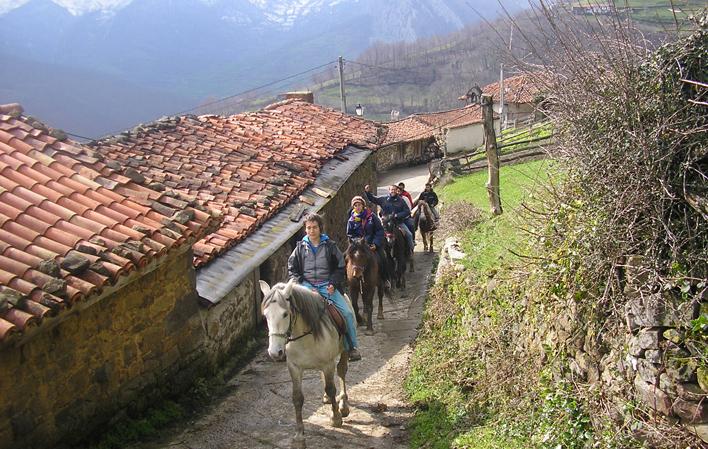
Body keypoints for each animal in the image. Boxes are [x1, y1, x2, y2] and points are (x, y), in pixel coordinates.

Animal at [258, 278, 350, 446]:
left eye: (285, 314)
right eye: (265, 315)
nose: (275, 352)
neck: (305, 336)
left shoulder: (327, 364)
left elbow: (331, 389)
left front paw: (336, 418)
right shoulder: (294, 367)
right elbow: (297, 398)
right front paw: (299, 436)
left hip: (344, 351)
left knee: (341, 371)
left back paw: (343, 405)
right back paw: (327, 399)